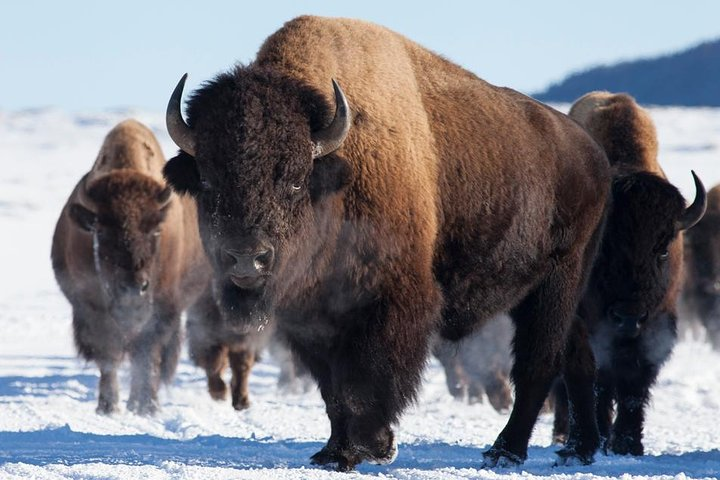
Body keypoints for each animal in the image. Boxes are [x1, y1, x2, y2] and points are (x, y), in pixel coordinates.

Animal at [51, 119, 213, 414]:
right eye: (101, 231)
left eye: (155, 230)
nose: (133, 289)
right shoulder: (92, 308)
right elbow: (108, 355)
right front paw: (107, 406)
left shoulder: (163, 309)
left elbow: (147, 356)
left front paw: (147, 406)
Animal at [163, 16, 610, 469]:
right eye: (206, 180)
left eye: (295, 179)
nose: (246, 260)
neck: (337, 172)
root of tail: (592, 153)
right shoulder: (312, 317)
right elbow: (334, 390)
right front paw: (334, 451)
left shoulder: (389, 303)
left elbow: (365, 381)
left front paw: (367, 448)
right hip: (554, 295)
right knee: (577, 358)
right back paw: (578, 450)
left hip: (556, 283)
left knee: (539, 363)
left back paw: (505, 452)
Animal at [552, 92, 706, 455]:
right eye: (603, 249)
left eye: (663, 249)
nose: (628, 318)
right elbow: (597, 380)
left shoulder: (656, 327)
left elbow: (635, 384)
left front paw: (627, 444)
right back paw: (565, 433)